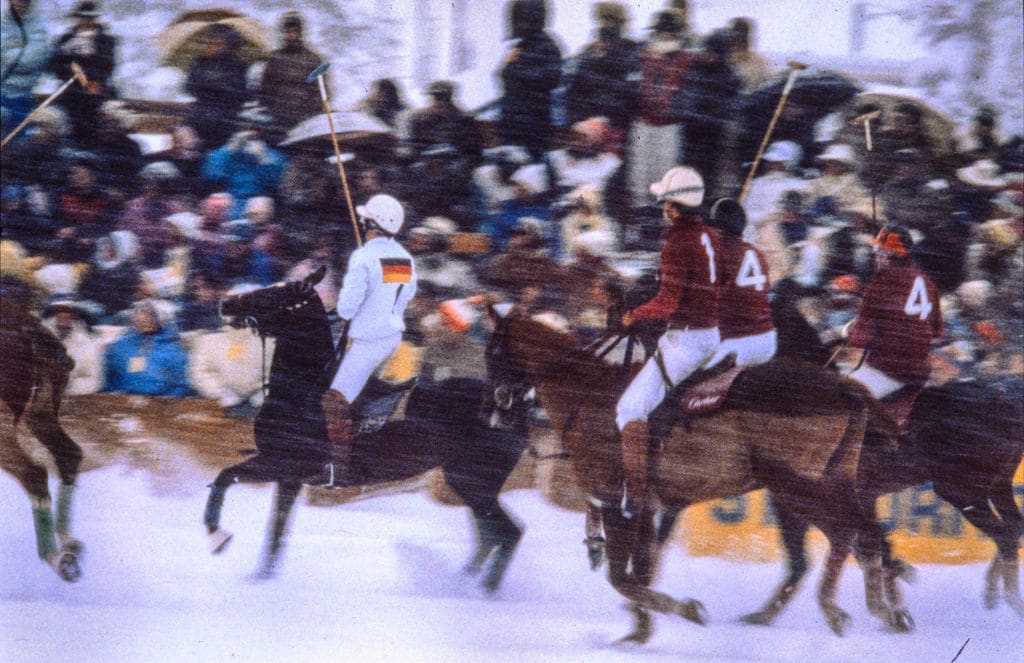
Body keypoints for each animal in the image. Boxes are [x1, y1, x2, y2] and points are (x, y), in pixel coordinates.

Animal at [483, 309, 901, 643]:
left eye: (494, 353)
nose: (495, 410)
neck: (586, 395)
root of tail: (843, 386)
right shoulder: (646, 509)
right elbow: (641, 572)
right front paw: (638, 633)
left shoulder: (619, 503)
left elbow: (622, 578)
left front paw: (684, 611)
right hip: (832, 481)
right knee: (864, 535)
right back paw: (883, 609)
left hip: (798, 487)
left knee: (847, 534)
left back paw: (840, 608)